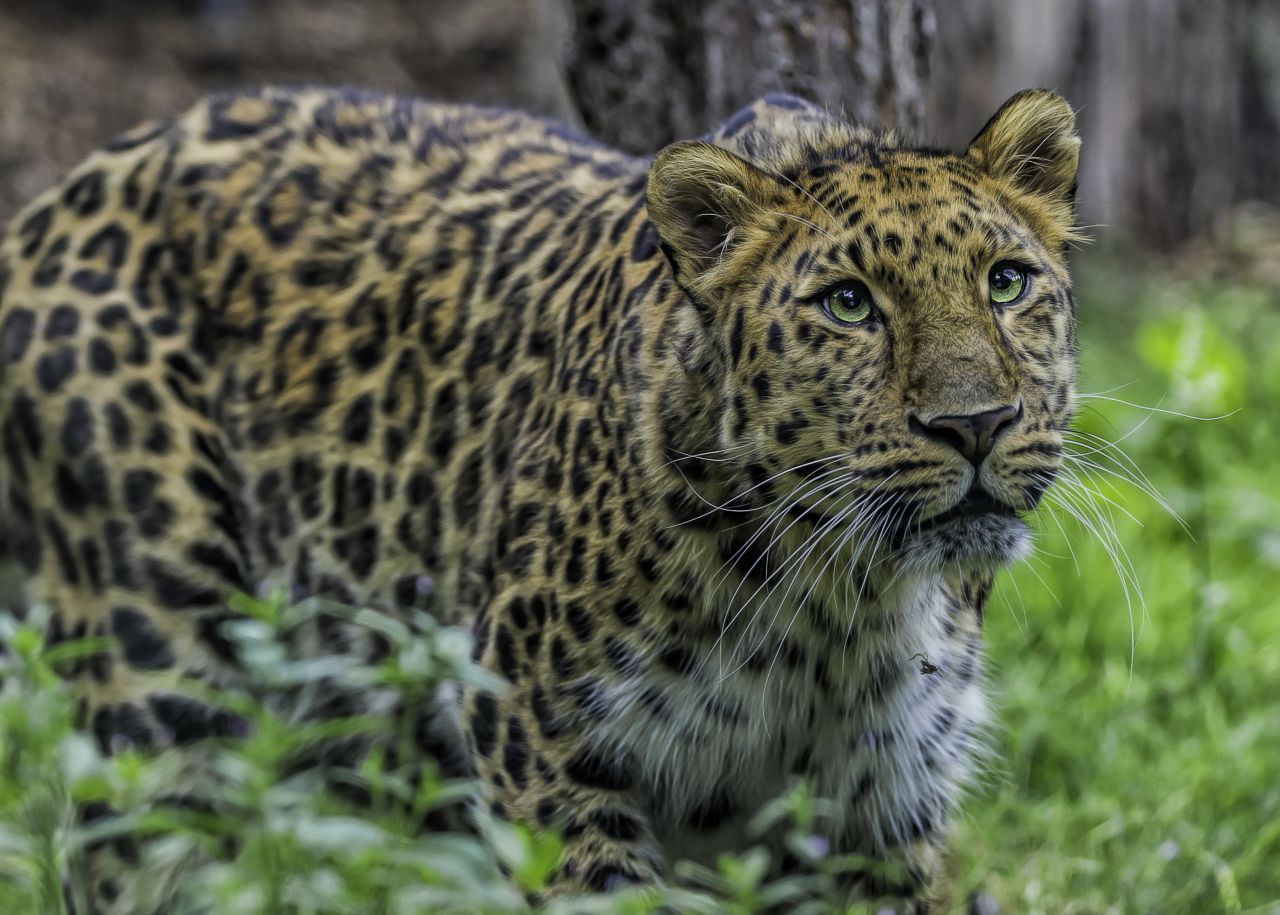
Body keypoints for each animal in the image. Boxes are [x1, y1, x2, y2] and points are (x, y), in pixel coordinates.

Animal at [0, 83, 1080, 911]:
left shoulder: (881, 809)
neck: (840, 604)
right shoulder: (543, 746)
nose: (976, 423)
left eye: (1006, 283)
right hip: (160, 696)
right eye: (848, 305)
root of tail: (62, 195)